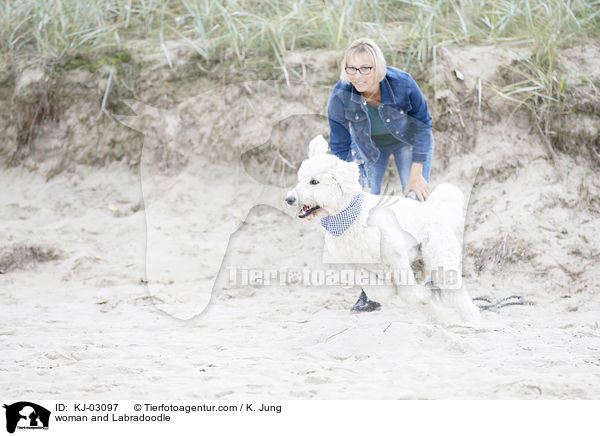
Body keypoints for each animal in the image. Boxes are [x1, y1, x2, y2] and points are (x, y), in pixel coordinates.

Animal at [288, 135, 482, 322]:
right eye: (300, 179)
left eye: (314, 182)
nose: (289, 199)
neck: (349, 217)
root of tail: (436, 212)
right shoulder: (357, 266)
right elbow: (377, 291)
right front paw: (390, 291)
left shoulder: (395, 256)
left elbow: (410, 293)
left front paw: (419, 296)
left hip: (439, 256)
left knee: (456, 293)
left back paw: (472, 319)